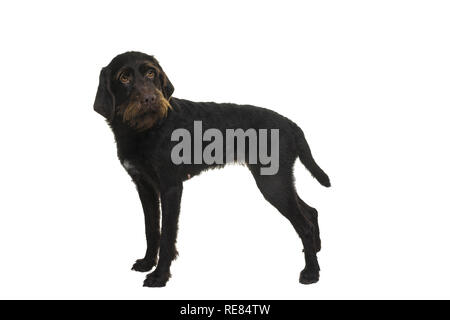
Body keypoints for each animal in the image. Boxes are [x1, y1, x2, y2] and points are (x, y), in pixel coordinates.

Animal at [94, 51, 330, 286]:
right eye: (124, 77)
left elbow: (167, 235)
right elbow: (151, 229)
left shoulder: (171, 187)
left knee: (305, 225)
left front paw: (160, 275)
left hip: (273, 183)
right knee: (311, 211)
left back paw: (311, 272)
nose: (150, 98)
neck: (145, 129)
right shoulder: (145, 186)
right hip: (279, 181)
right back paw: (316, 250)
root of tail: (291, 125)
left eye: (151, 73)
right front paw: (146, 263)